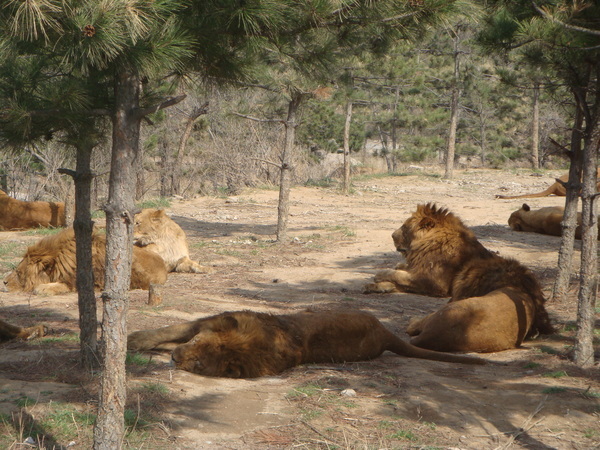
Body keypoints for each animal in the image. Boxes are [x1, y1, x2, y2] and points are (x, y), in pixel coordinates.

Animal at [360, 203, 496, 296]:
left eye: (405, 228)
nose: (392, 235)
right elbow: (401, 276)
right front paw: (374, 286)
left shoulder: (434, 282)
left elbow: (399, 275)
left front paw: (380, 275)